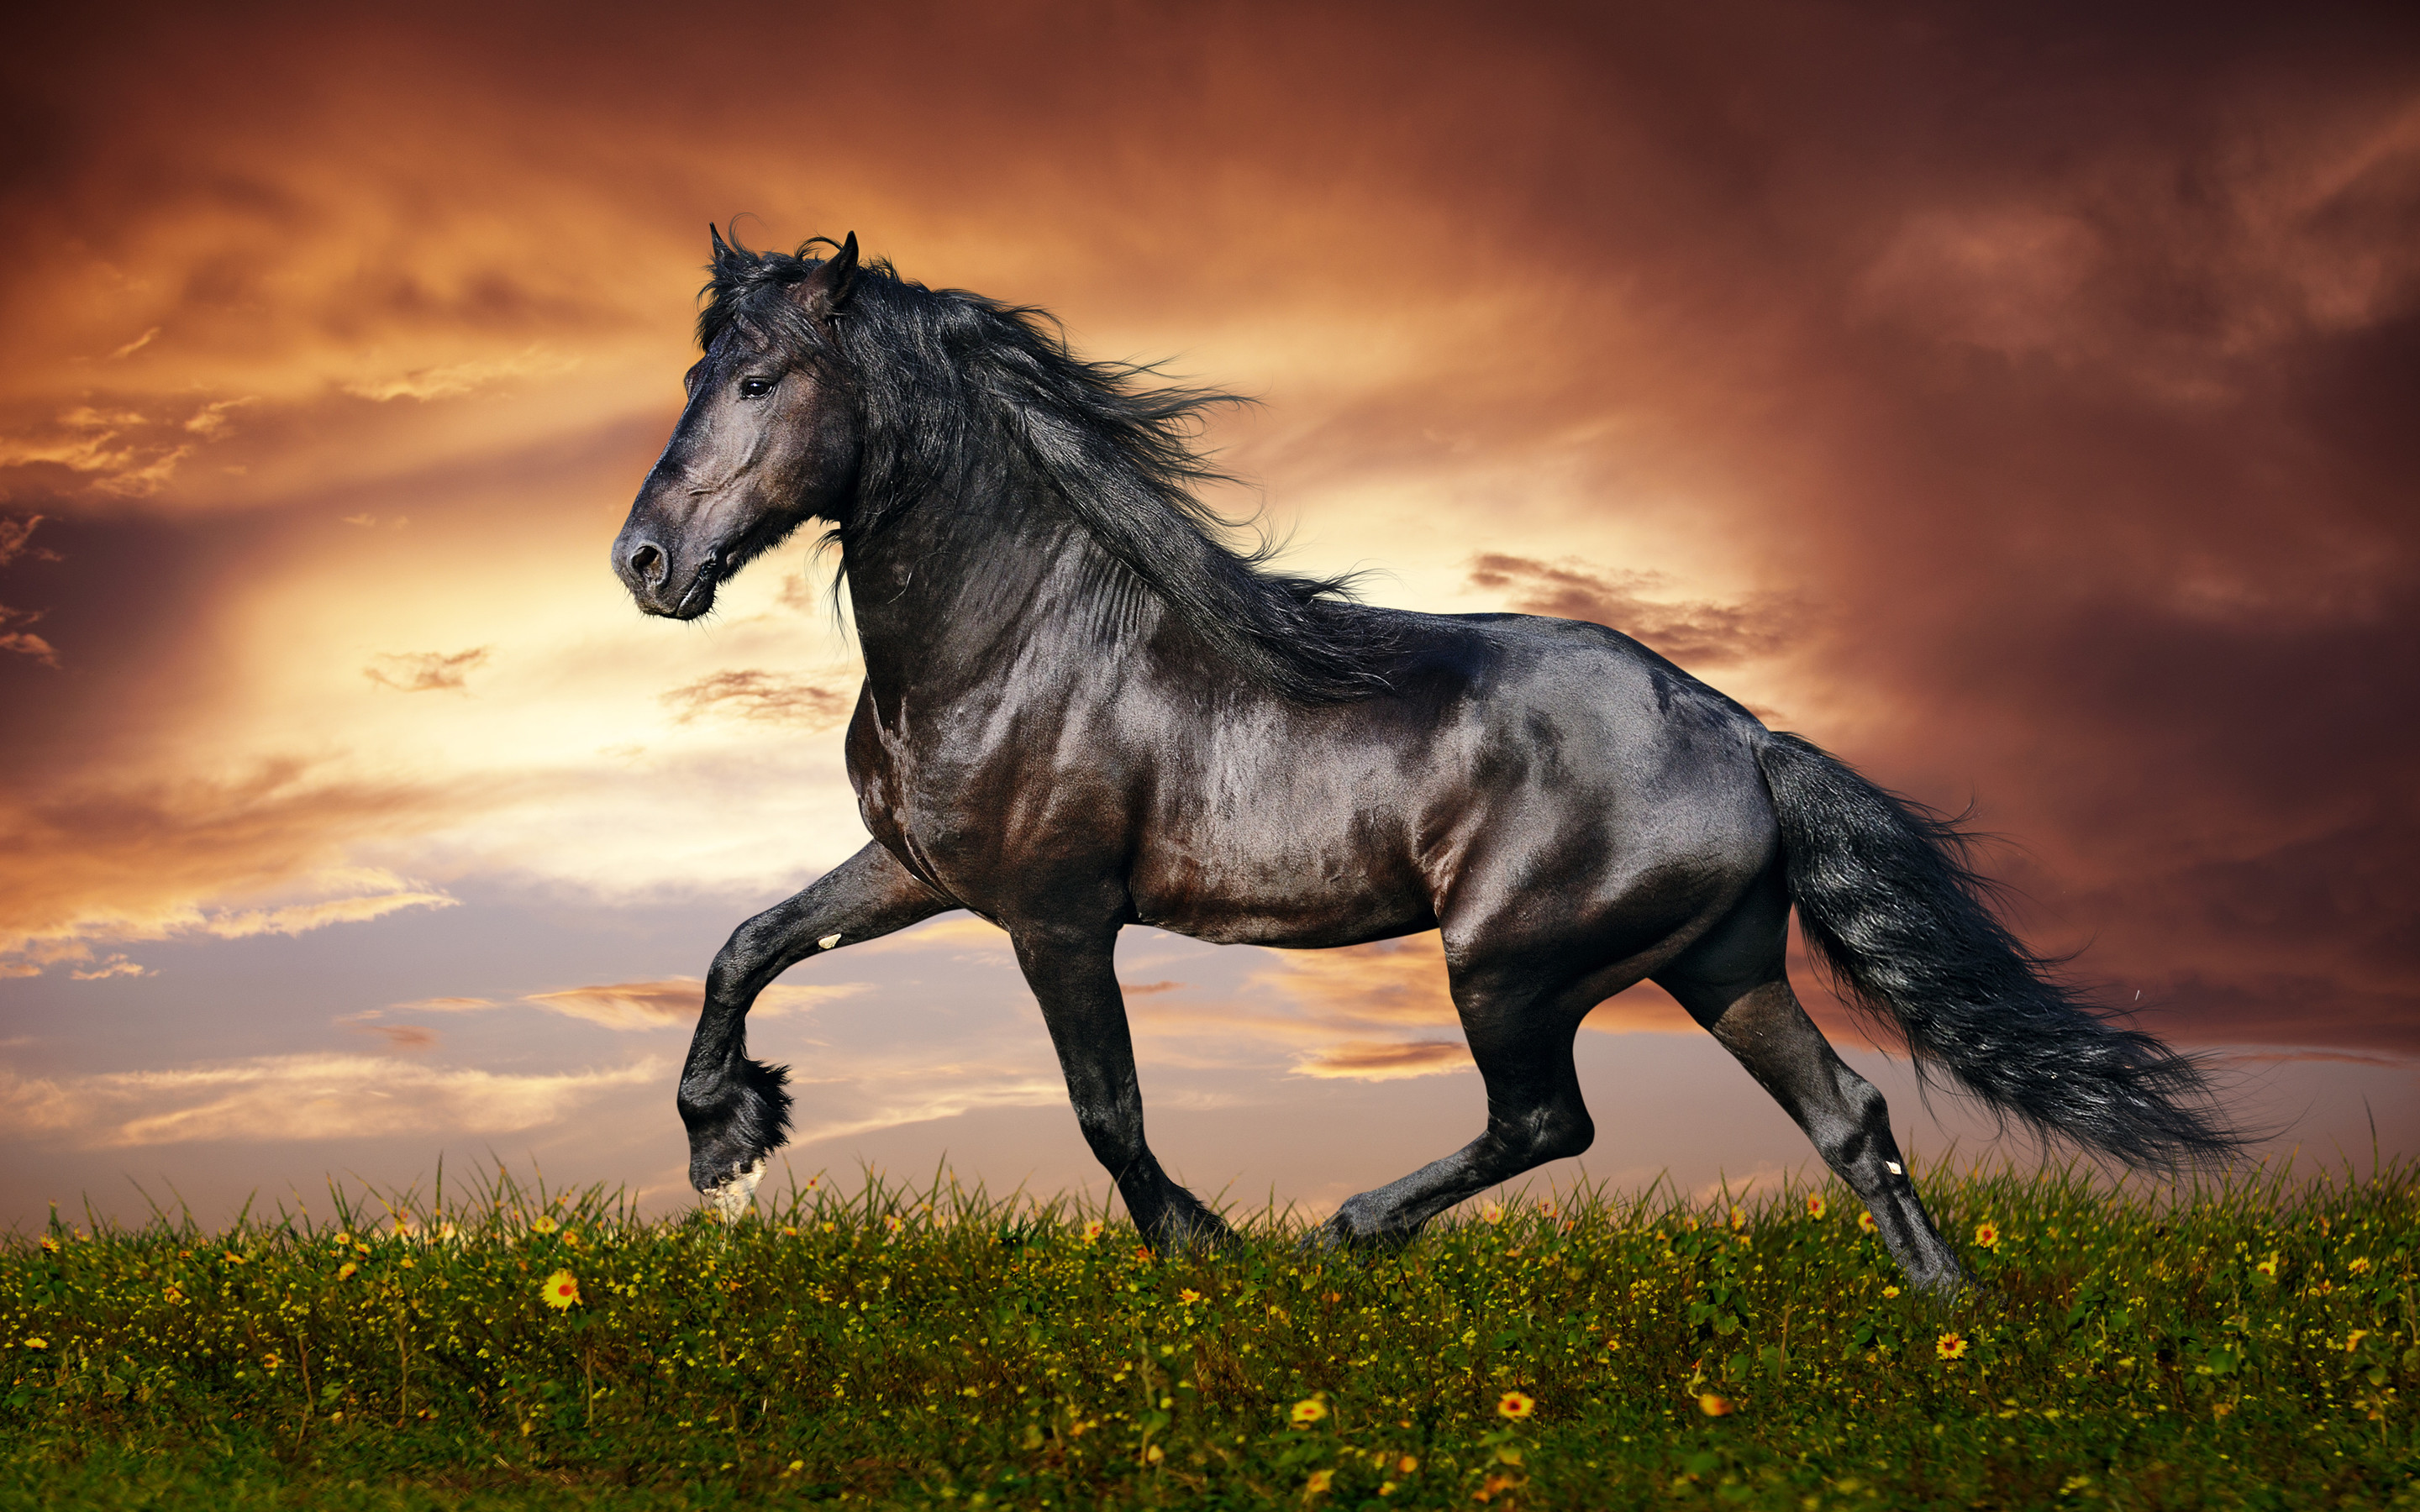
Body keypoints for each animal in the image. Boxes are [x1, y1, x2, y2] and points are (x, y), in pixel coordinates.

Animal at [610, 229, 2236, 1295]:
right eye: (696, 371)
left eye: (760, 382)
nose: (645, 564)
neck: (1017, 633)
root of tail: (1744, 736)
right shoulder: (922, 868)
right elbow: (746, 943)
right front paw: (725, 1141)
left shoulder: (1056, 914)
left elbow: (1105, 1108)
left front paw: (1206, 1250)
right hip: (1721, 962)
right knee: (1850, 1120)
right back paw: (1949, 1321)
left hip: (1508, 962)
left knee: (1550, 1120)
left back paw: (1344, 1233)